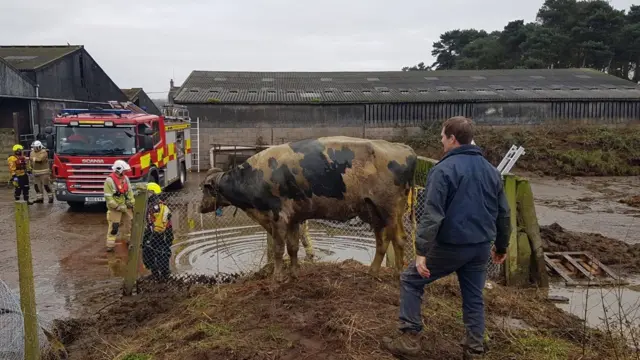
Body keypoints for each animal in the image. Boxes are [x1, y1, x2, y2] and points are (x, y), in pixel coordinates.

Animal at [200, 135, 420, 282]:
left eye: (204, 188)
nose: (201, 207)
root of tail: (403, 148)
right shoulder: (294, 218)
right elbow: (293, 247)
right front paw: (295, 272)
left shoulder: (278, 217)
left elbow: (279, 249)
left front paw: (278, 276)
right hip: (373, 211)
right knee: (382, 241)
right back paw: (372, 271)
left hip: (390, 208)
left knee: (399, 239)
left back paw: (398, 273)